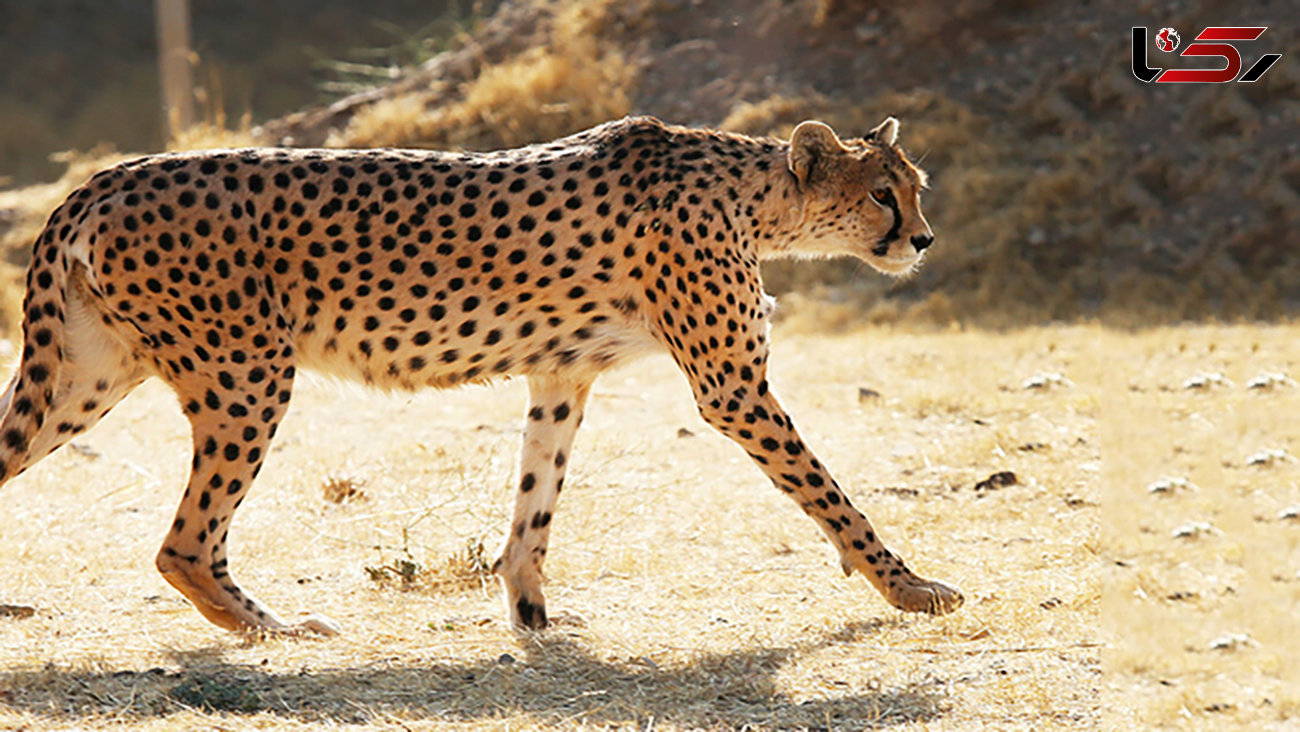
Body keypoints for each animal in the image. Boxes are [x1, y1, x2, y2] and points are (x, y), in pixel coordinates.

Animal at [0, 114, 956, 637]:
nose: (922, 239)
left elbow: (537, 498)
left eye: (914, 186)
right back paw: (279, 630)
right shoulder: (732, 388)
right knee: (185, 544)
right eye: (882, 192)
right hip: (246, 375)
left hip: (85, 380)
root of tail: (104, 177)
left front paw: (530, 612)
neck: (754, 199)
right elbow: (833, 494)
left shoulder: (562, 376)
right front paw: (908, 587)